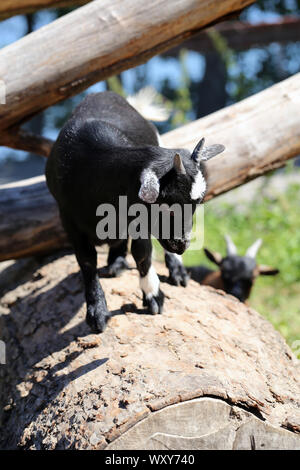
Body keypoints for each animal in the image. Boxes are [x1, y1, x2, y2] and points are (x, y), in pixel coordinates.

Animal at [46, 88, 225, 330]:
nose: (182, 245)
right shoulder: (68, 219)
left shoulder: (138, 219)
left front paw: (153, 295)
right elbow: (87, 260)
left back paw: (176, 271)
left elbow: (142, 253)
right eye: (166, 205)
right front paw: (97, 311)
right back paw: (116, 263)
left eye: (196, 205)